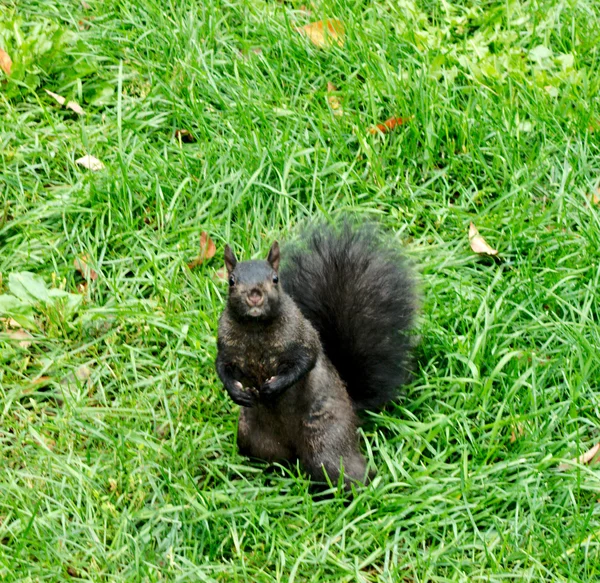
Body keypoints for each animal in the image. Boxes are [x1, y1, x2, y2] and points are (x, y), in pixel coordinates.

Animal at [216, 221, 418, 490]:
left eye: (275, 279)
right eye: (231, 280)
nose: (255, 294)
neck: (255, 329)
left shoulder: (303, 338)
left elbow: (305, 362)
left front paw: (274, 387)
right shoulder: (225, 347)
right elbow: (222, 368)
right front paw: (236, 392)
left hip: (326, 442)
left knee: (344, 470)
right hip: (252, 438)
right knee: (272, 461)